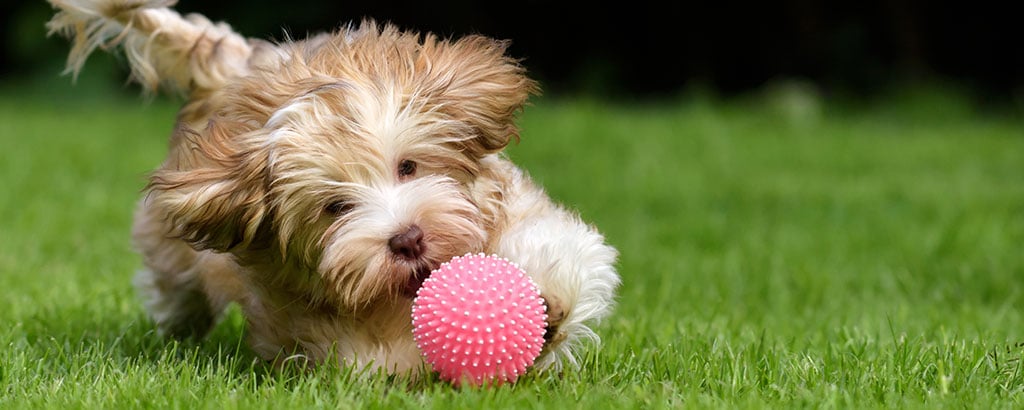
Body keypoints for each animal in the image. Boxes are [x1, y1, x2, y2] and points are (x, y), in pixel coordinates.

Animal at [48, 0, 618, 375]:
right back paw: (177, 330)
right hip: (171, 249)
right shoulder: (297, 311)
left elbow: (558, 247)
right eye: (335, 207)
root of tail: (231, 66)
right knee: (175, 286)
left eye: (408, 167)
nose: (407, 239)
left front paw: (545, 308)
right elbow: (365, 356)